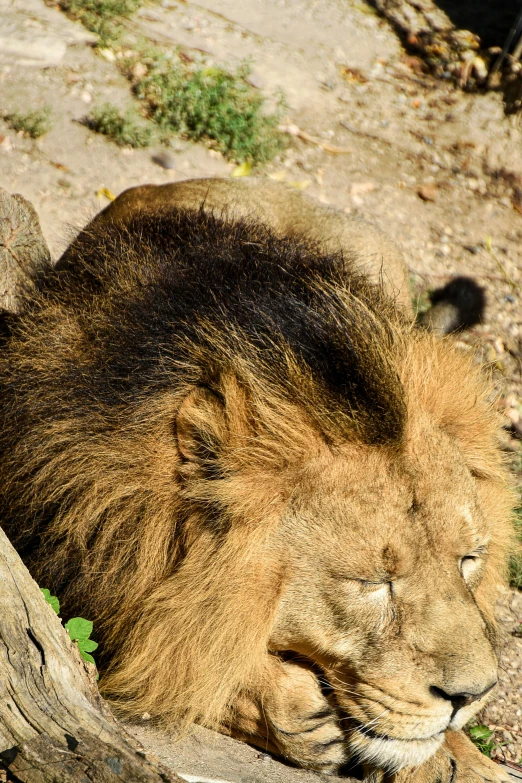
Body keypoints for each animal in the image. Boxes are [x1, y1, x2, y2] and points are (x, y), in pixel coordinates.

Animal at [0, 181, 512, 780]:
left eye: (468, 560)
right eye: (371, 583)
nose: (471, 696)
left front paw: (466, 760)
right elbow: (189, 652)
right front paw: (292, 710)